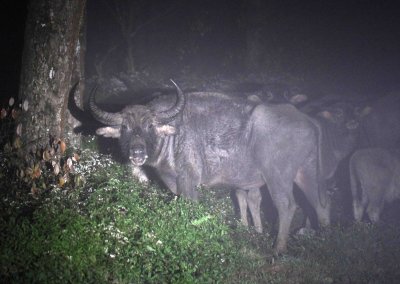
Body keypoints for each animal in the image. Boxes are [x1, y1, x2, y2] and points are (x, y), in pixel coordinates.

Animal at [84, 80, 328, 253]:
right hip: (307, 172)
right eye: (124, 127)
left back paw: (277, 248)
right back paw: (323, 237)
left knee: (287, 205)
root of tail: (308, 121)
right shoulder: (173, 181)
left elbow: (190, 206)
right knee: (320, 203)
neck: (173, 134)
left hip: (278, 177)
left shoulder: (188, 178)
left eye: (150, 126)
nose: (137, 153)